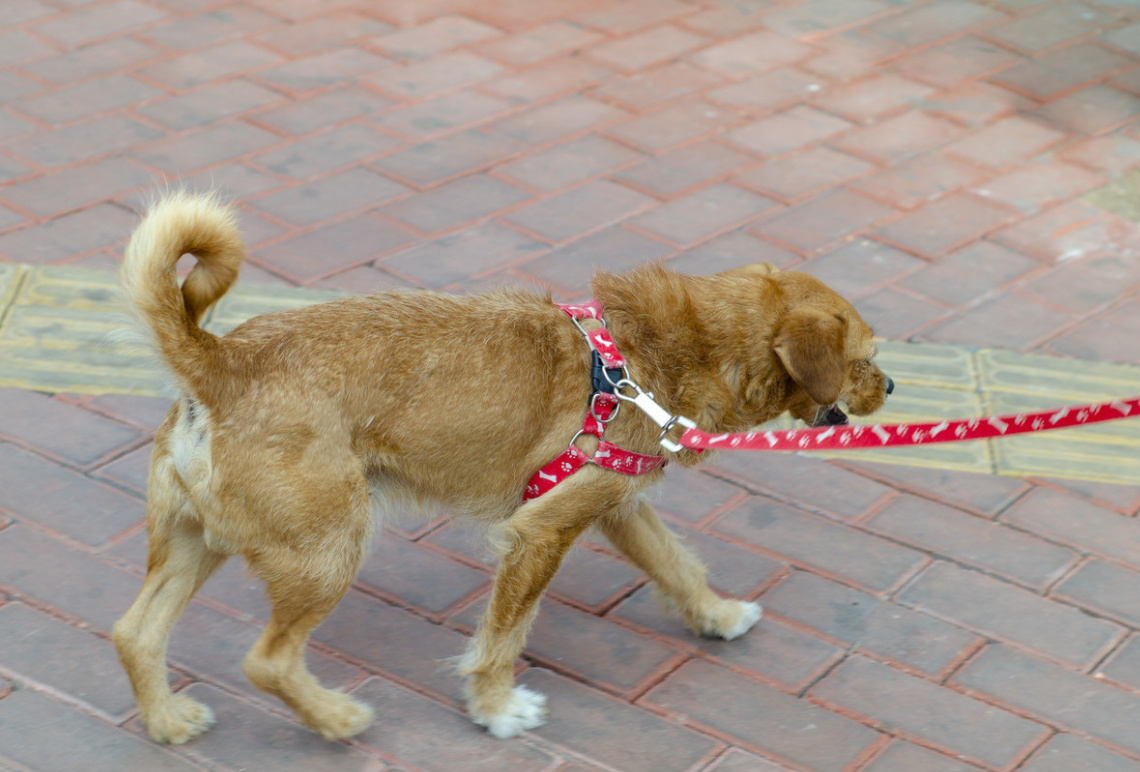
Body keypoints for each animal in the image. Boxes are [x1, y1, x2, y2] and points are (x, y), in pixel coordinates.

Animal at [111, 191, 889, 738]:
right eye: (867, 357)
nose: (891, 386)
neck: (671, 349)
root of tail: (219, 363)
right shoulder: (539, 535)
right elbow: (505, 634)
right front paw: (495, 707)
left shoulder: (615, 507)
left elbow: (676, 565)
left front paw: (717, 614)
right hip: (327, 550)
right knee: (267, 660)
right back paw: (336, 719)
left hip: (197, 542)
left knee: (135, 632)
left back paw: (168, 723)